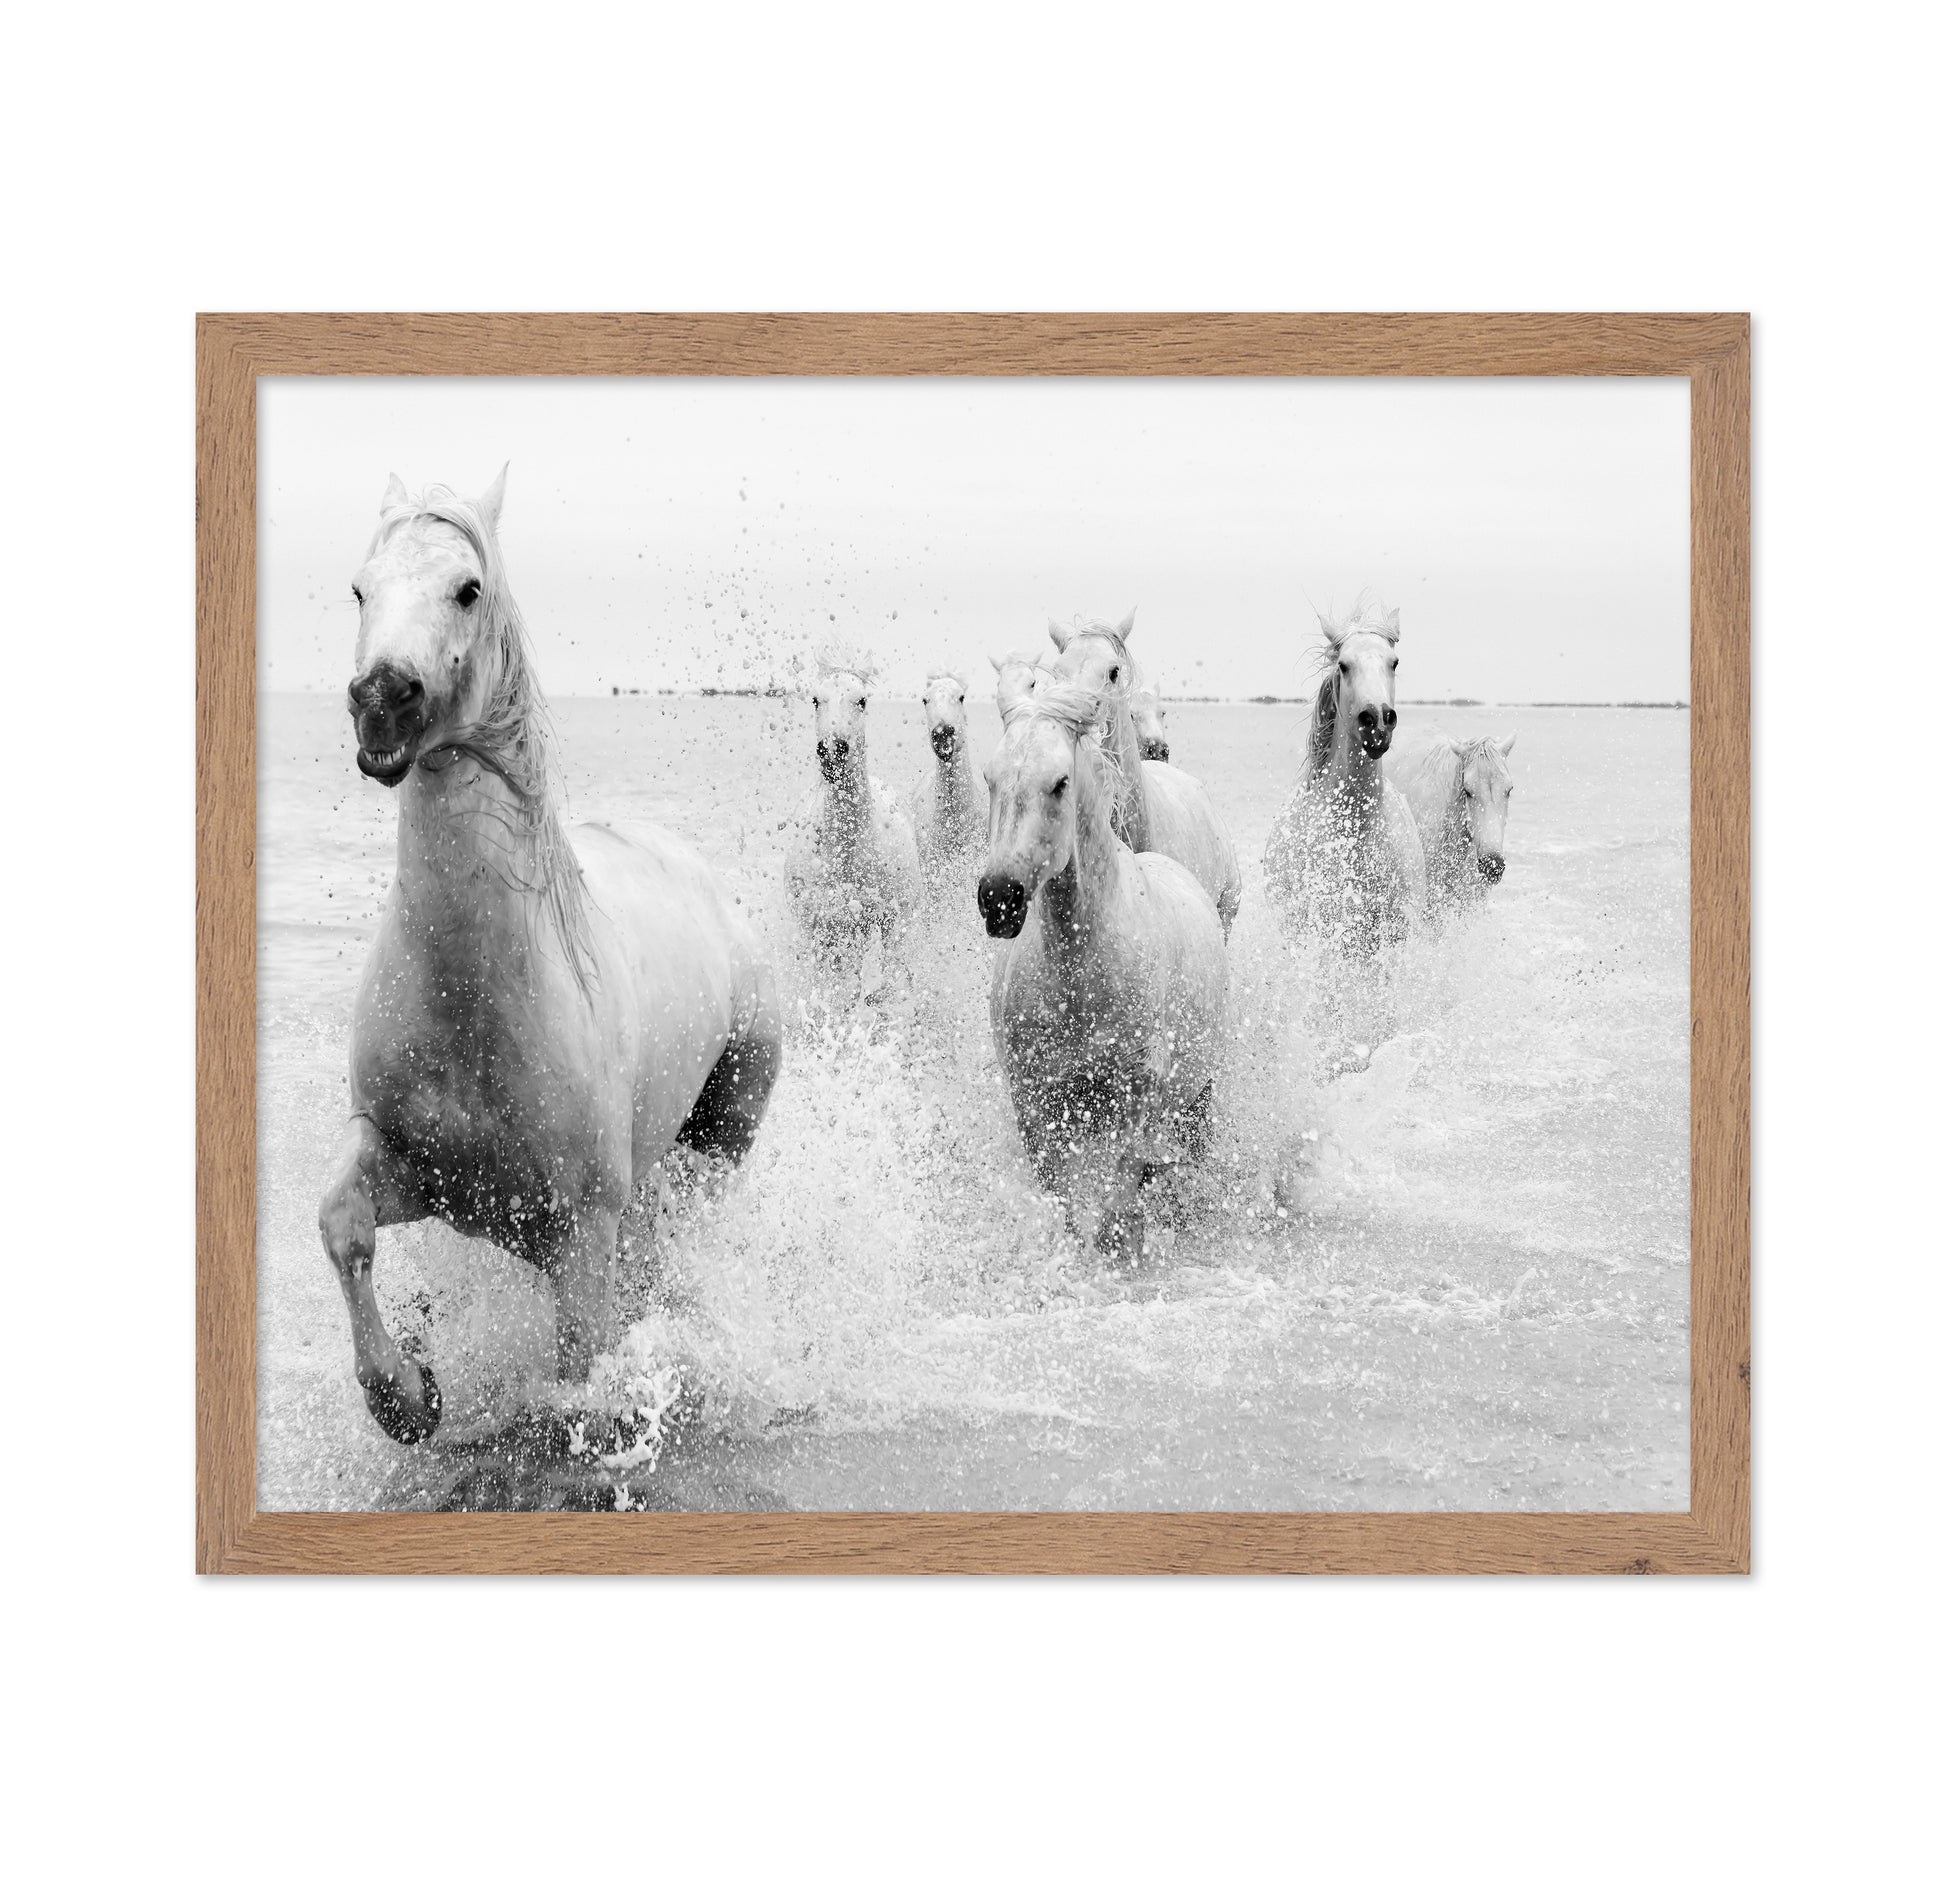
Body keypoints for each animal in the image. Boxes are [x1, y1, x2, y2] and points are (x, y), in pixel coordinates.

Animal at [319, 468, 783, 1445]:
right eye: (359, 588)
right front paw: (406, 1393)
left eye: (468, 588)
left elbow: (583, 1371)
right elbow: (342, 1223)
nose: (381, 697)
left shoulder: (581, 1234)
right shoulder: (413, 1165)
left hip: (721, 1137)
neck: (476, 994)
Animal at [978, 681, 1229, 1260]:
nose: (999, 899)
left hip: (1199, 1094)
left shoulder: (1138, 1093)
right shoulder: (1036, 1102)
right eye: (990, 778)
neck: (1080, 977)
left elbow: (1120, 1196)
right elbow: (1065, 1204)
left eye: (1060, 782)